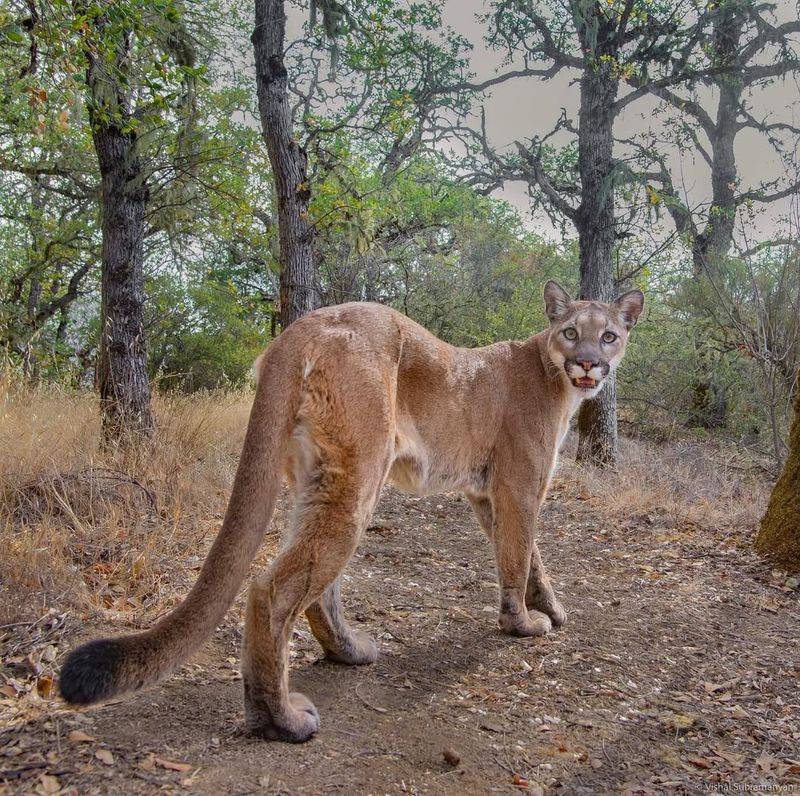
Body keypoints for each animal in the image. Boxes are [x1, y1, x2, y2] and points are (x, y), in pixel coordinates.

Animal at [59, 280, 644, 740]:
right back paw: (280, 720)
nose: (588, 362)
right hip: (358, 475)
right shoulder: (517, 487)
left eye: (609, 336)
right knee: (273, 588)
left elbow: (530, 558)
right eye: (570, 332)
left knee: (318, 587)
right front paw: (521, 624)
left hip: (321, 479)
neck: (553, 378)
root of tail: (302, 326)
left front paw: (551, 609)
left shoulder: (485, 495)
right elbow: (518, 556)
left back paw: (349, 652)